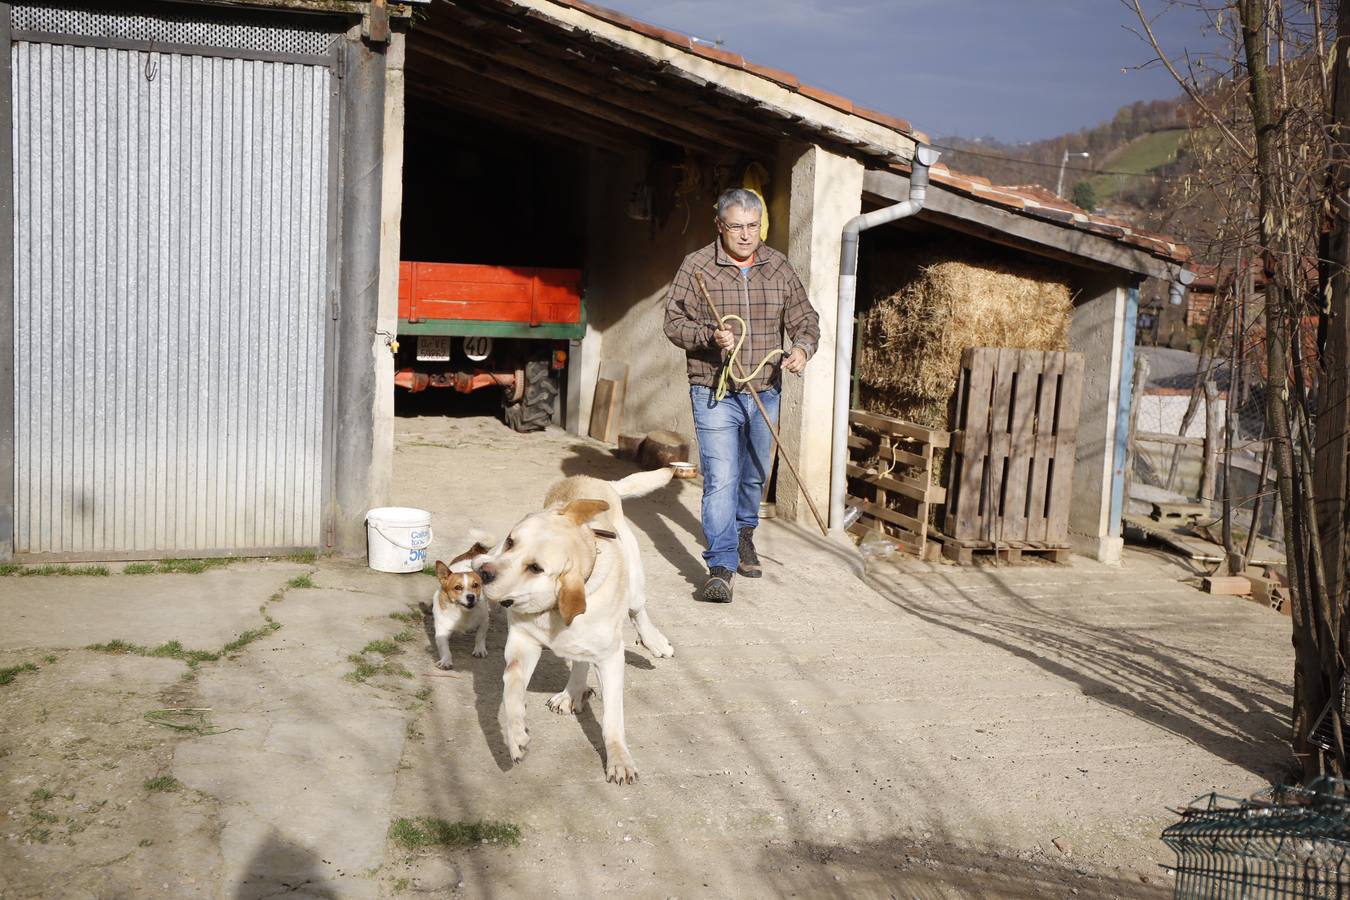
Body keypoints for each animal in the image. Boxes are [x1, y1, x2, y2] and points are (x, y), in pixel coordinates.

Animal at [423, 534, 494, 669]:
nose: (471, 596)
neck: (463, 612)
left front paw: (479, 649)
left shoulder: (484, 621)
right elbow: (444, 648)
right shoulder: (441, 630)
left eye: (475, 585)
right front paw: (446, 661)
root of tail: (472, 551)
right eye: (457, 587)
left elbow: (480, 635)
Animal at [475, 469, 675, 782]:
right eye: (510, 542)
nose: (484, 573)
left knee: (638, 610)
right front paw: (517, 736)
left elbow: (612, 718)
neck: (556, 608)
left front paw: (619, 760)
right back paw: (572, 693)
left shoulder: (610, 658)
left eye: (535, 568)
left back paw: (654, 642)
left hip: (633, 586)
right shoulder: (523, 642)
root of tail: (597, 481)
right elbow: (512, 685)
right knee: (579, 659)